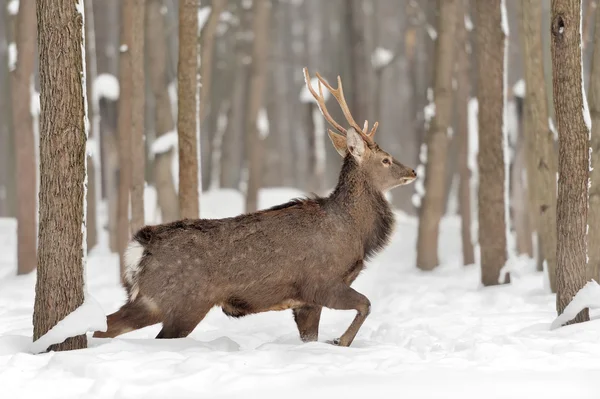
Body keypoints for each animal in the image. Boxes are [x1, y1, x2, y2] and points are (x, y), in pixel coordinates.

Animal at [95, 68, 418, 346]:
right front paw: (340, 341)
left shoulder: (305, 302)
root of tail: (140, 246)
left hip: (151, 299)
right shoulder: (321, 284)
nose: (413, 171)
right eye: (386, 159)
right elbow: (366, 304)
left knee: (107, 323)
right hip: (182, 301)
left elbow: (310, 336)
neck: (355, 233)